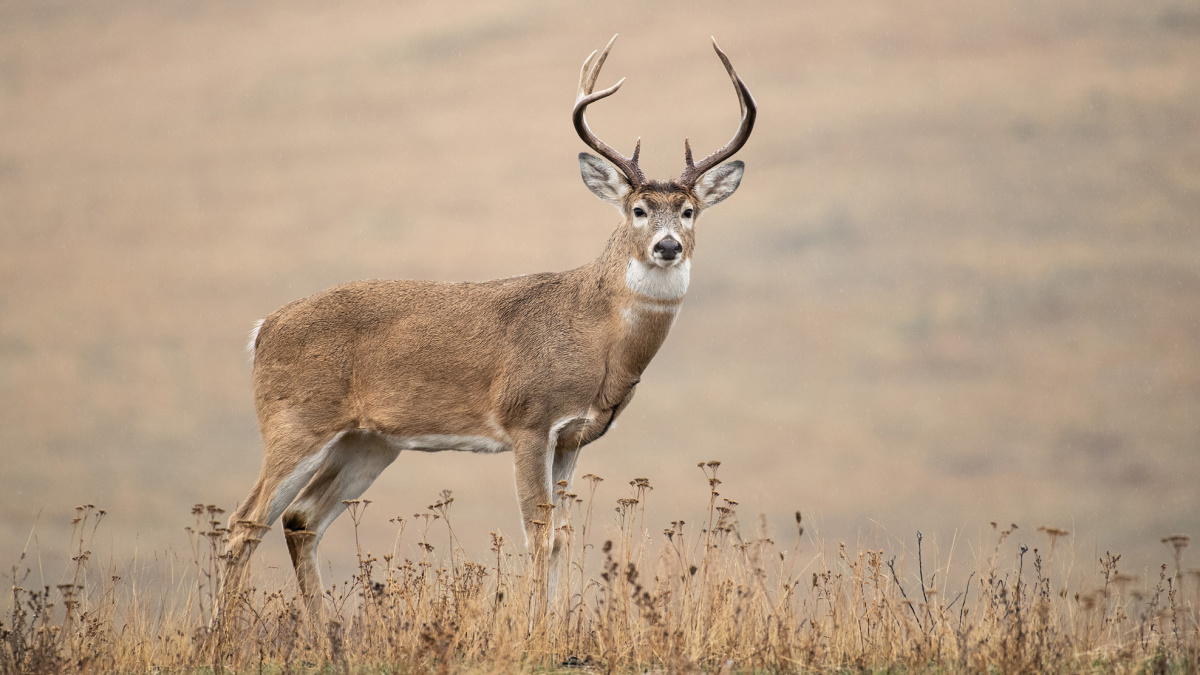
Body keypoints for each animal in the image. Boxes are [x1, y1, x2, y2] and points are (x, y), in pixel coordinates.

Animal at [220, 34, 753, 619]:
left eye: (689, 211)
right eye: (637, 209)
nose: (668, 246)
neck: (597, 336)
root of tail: (263, 329)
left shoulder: (574, 437)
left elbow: (561, 536)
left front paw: (557, 623)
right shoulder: (529, 418)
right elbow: (538, 532)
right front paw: (535, 626)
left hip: (368, 441)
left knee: (299, 519)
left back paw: (323, 629)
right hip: (295, 420)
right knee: (244, 522)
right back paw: (225, 631)